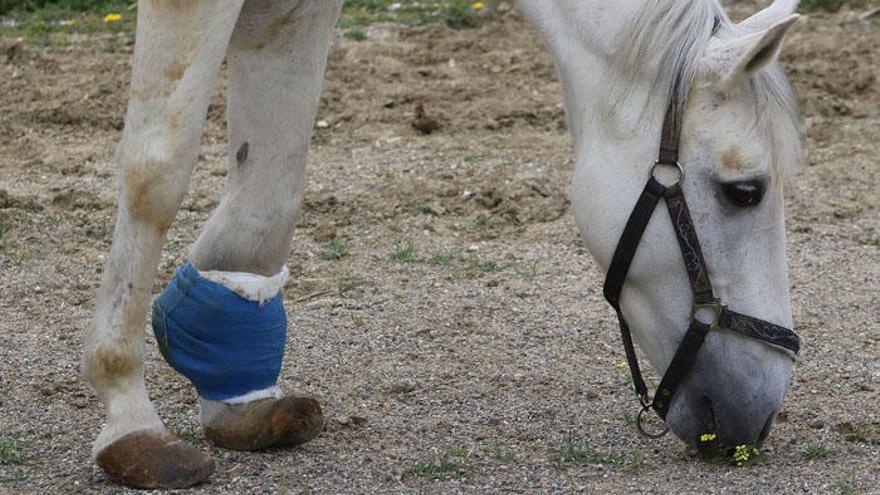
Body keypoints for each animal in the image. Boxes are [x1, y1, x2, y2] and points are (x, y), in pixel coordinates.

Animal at [79, 0, 800, 488]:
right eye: (745, 191)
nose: (758, 415)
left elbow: (271, 187)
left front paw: (235, 392)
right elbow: (156, 171)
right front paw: (128, 414)